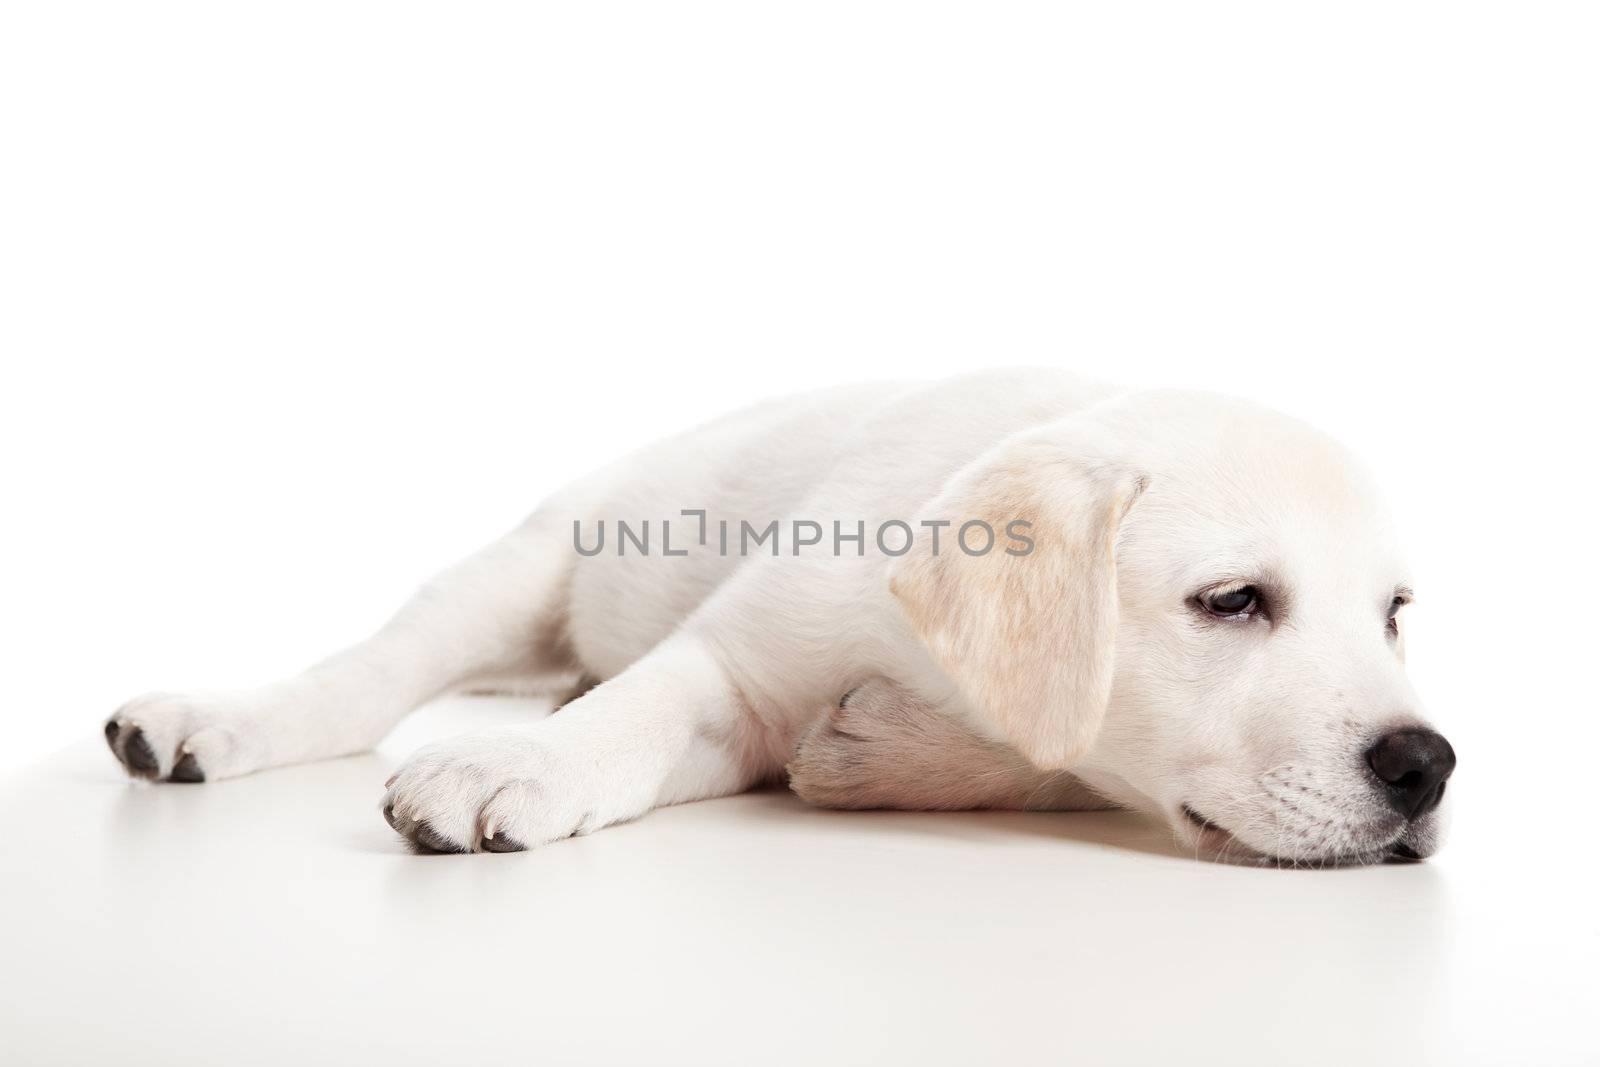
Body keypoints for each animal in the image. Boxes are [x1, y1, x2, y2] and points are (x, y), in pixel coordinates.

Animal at [96, 371, 1452, 863]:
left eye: (1395, 612)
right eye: (1231, 601)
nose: (1424, 765)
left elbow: (1044, 760)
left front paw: (878, 753)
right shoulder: (737, 660)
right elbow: (635, 709)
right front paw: (514, 761)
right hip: (535, 558)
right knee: (369, 672)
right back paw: (210, 718)